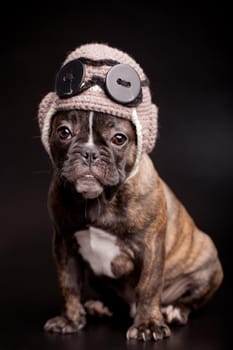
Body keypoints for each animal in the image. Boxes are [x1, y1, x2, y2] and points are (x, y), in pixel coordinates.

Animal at [38, 43, 224, 342]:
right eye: (64, 132)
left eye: (119, 139)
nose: (89, 152)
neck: (100, 200)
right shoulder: (64, 244)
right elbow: (69, 284)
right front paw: (70, 319)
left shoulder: (150, 246)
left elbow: (148, 287)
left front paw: (148, 325)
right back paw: (101, 305)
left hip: (208, 262)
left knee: (189, 298)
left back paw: (174, 310)